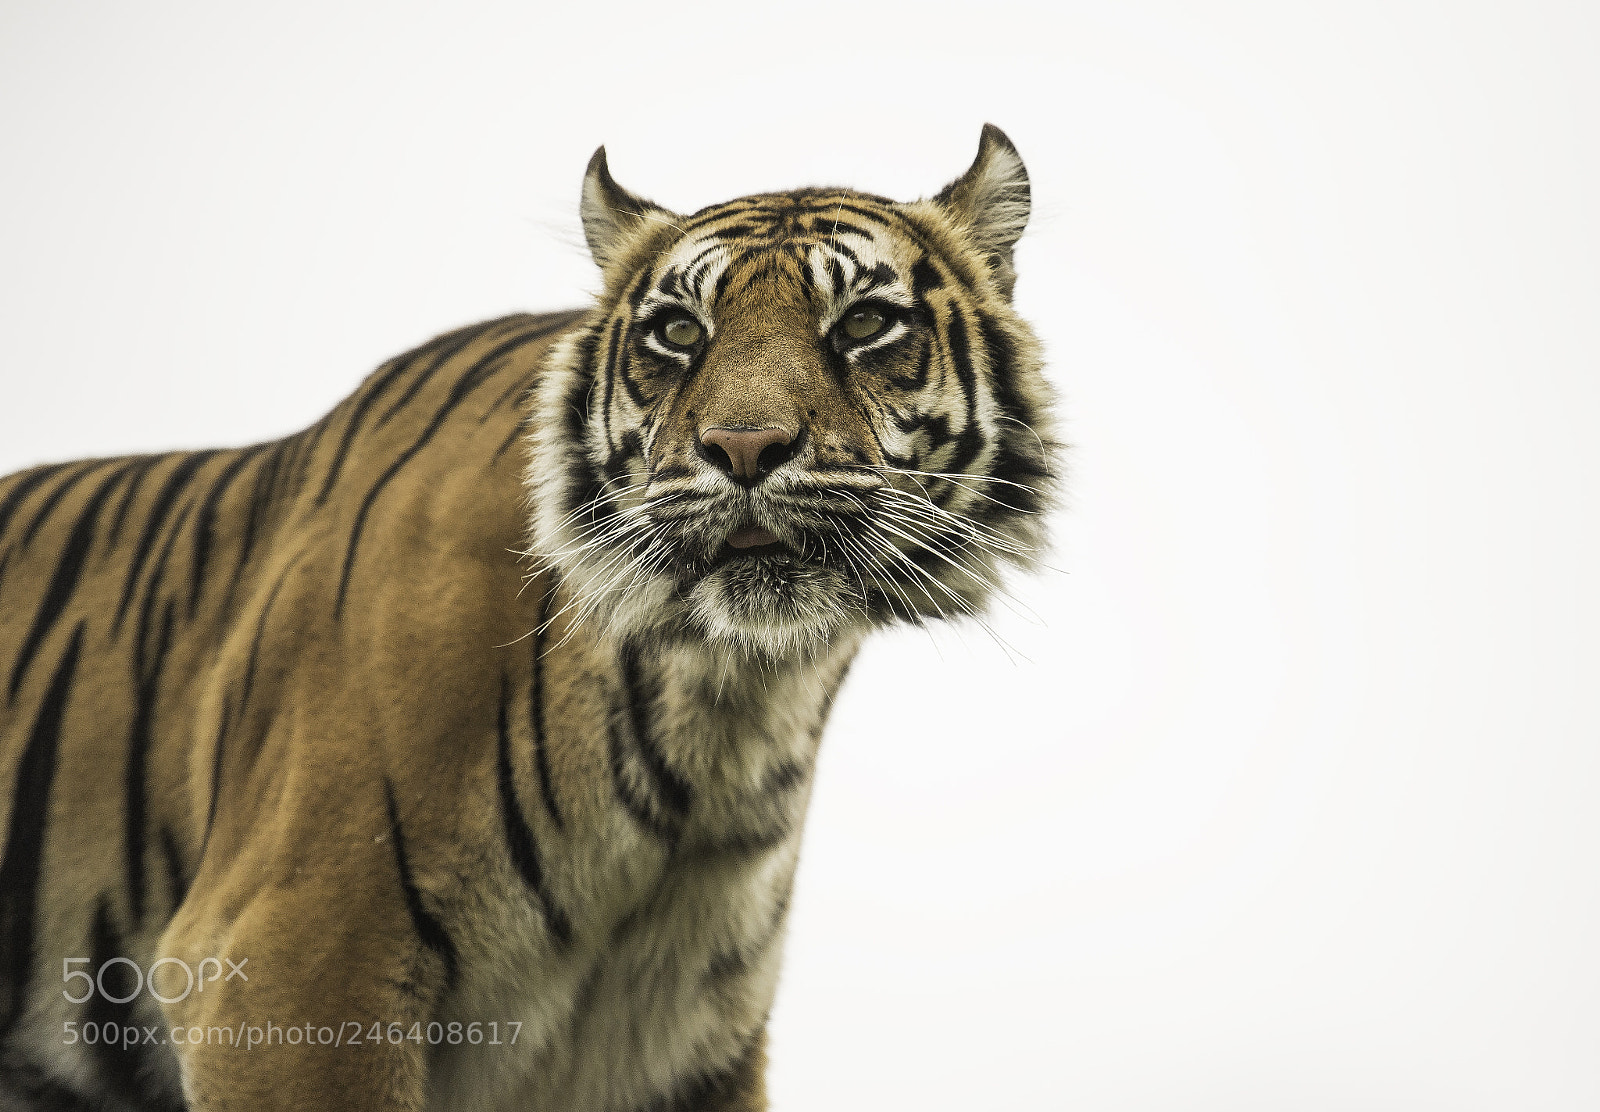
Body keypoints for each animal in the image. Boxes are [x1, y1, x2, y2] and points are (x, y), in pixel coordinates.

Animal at [0, 124, 1057, 1111]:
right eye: (680, 332)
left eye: (867, 323)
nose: (744, 447)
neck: (724, 706)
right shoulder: (289, 968)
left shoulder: (684, 1040)